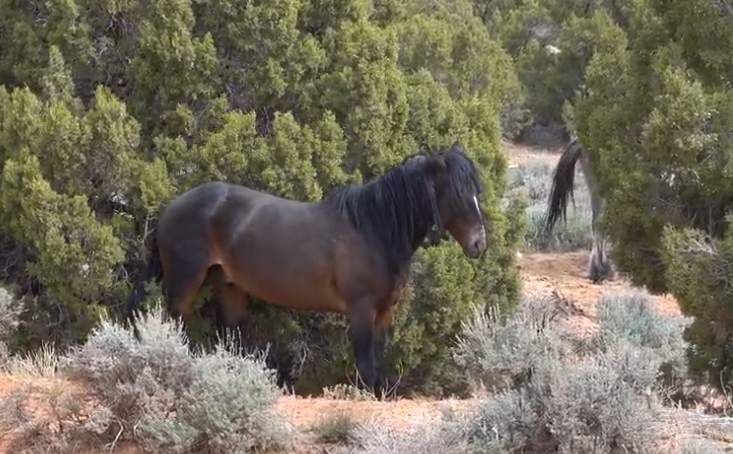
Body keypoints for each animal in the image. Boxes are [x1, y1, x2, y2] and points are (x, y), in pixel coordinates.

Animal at [124, 141, 488, 397]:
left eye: (476, 193)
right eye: (458, 197)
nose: (479, 244)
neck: (372, 229)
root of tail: (172, 206)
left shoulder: (384, 311)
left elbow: (378, 361)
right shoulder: (361, 309)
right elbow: (366, 364)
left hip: (230, 288)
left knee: (230, 337)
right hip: (184, 281)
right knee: (175, 321)